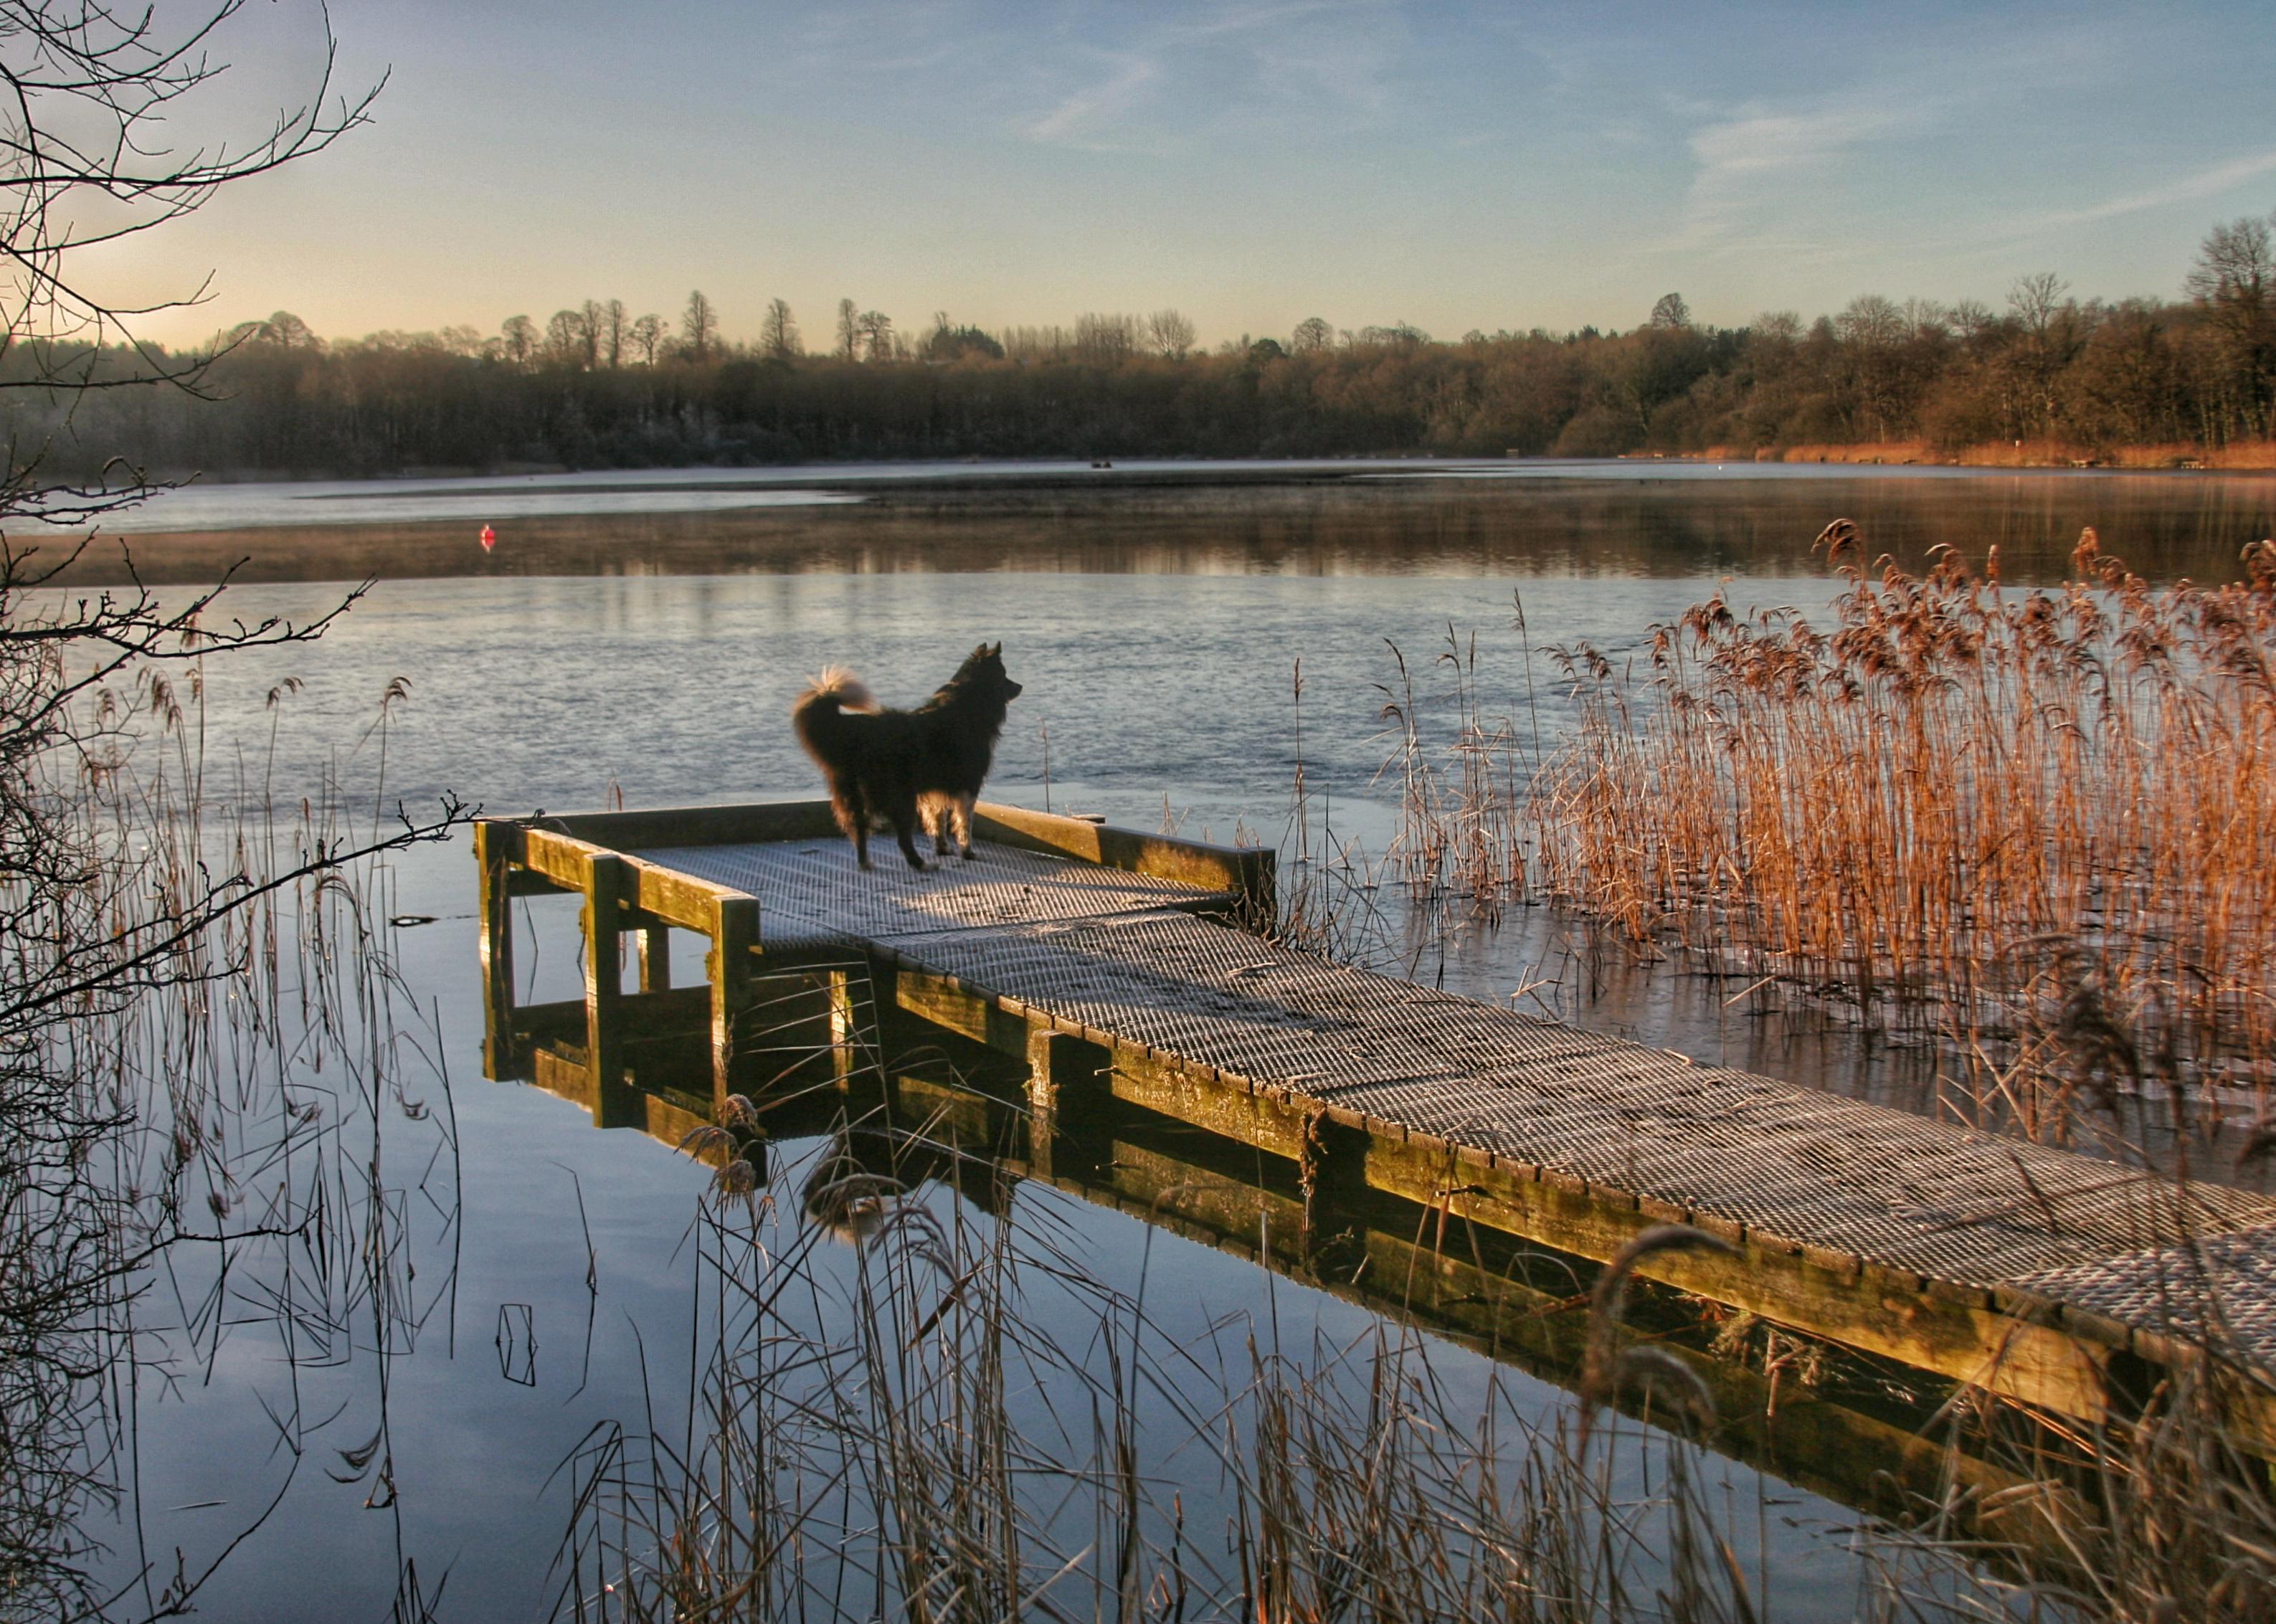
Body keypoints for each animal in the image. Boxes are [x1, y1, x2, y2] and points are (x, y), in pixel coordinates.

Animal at [792, 637, 1024, 868]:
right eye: (1004, 675)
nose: (1021, 686)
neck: (969, 704)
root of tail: (855, 731)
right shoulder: (968, 785)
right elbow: (965, 823)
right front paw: (967, 852)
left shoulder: (936, 789)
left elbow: (938, 820)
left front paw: (943, 849)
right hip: (901, 796)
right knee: (902, 838)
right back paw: (921, 864)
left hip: (859, 795)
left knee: (860, 830)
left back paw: (866, 864)